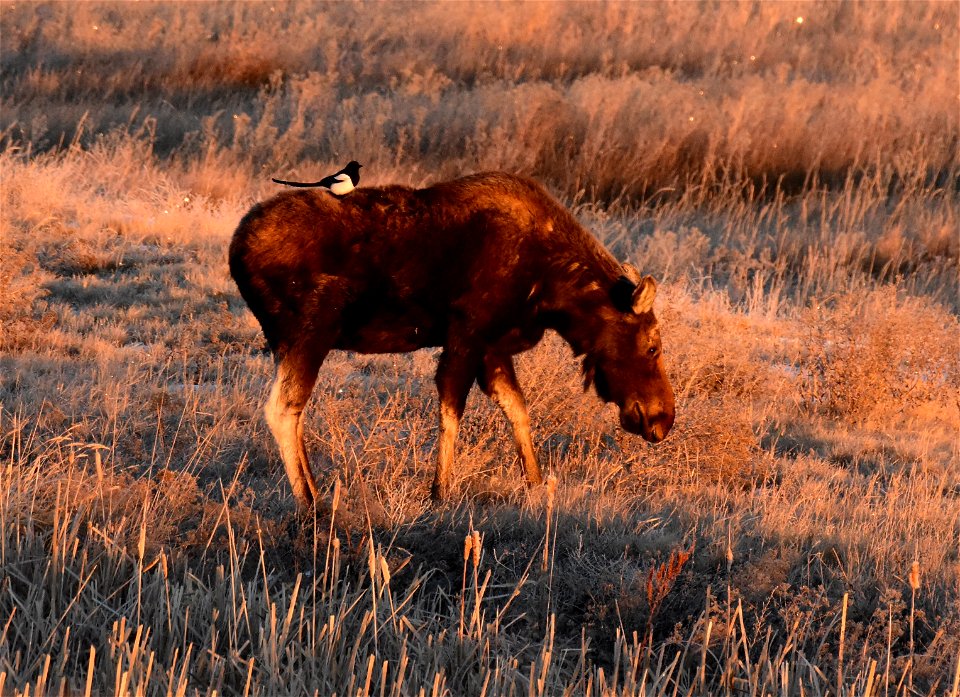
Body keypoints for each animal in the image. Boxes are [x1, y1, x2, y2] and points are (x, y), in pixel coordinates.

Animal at [230, 169, 676, 506]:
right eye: (652, 346)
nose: (662, 419)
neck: (553, 290)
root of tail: (236, 249)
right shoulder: (467, 335)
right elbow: (452, 412)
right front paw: (440, 491)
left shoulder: (492, 348)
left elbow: (518, 409)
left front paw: (535, 482)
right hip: (311, 328)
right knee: (282, 409)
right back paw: (311, 501)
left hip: (293, 340)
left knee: (291, 410)